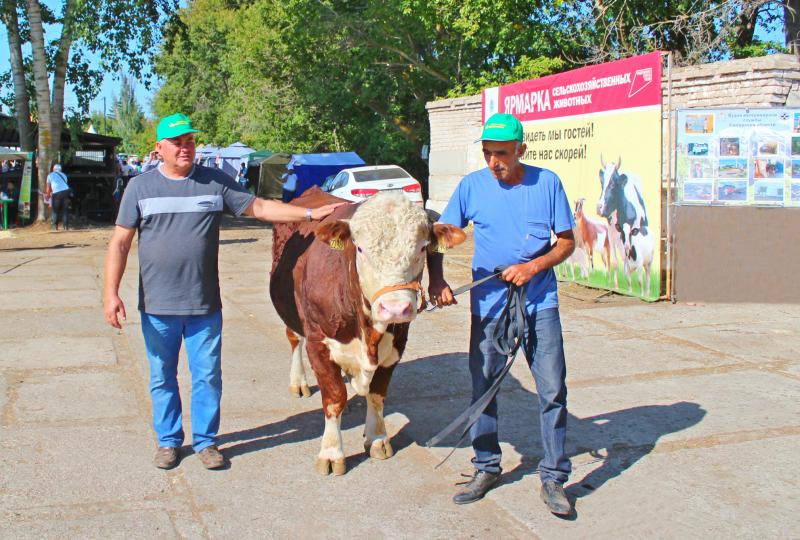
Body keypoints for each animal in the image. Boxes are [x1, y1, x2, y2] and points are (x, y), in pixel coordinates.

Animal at [272, 188, 466, 474]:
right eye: (360, 248)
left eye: (422, 247)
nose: (395, 308)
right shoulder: (318, 342)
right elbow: (334, 398)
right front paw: (332, 452)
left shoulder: (396, 346)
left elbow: (377, 394)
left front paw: (377, 438)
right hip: (290, 312)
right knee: (294, 340)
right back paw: (298, 382)